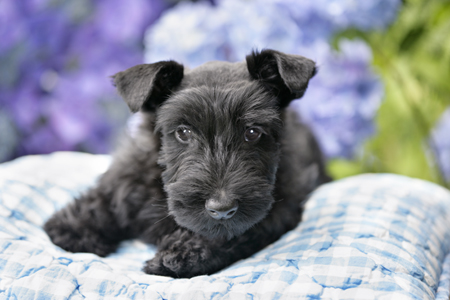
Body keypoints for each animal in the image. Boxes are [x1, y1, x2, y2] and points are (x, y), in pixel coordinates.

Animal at [44, 48, 328, 276]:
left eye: (252, 132)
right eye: (183, 132)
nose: (221, 208)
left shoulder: (280, 206)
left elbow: (232, 232)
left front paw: (182, 254)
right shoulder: (129, 175)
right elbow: (103, 199)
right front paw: (73, 229)